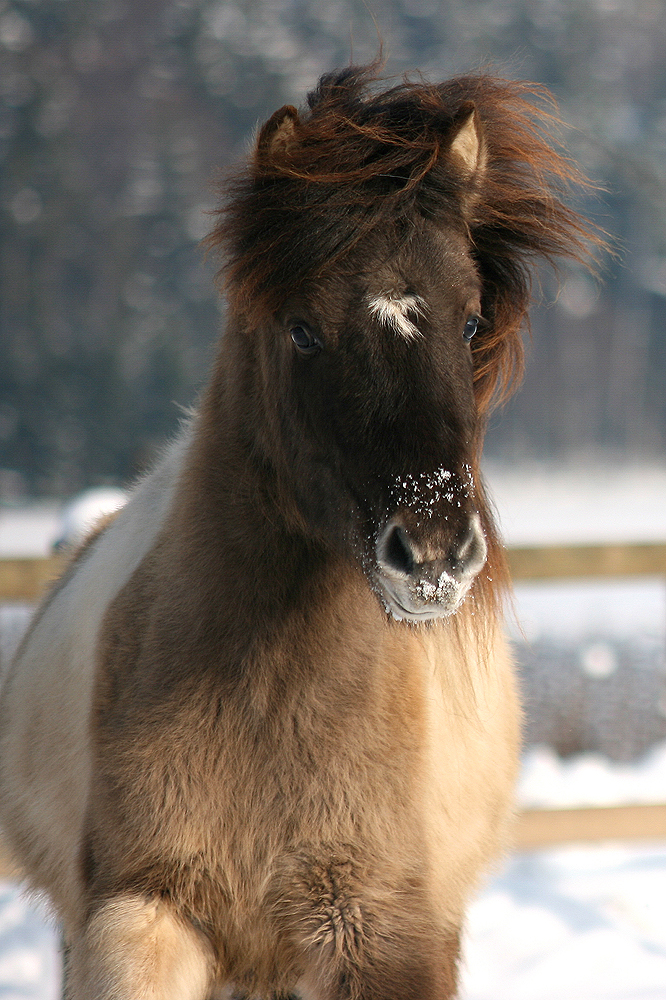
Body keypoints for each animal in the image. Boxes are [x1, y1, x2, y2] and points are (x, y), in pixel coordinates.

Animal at [0, 64, 592, 1000]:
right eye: (303, 328)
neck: (274, 717)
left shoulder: (388, 940)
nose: (433, 555)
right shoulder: (137, 914)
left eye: (469, 322)